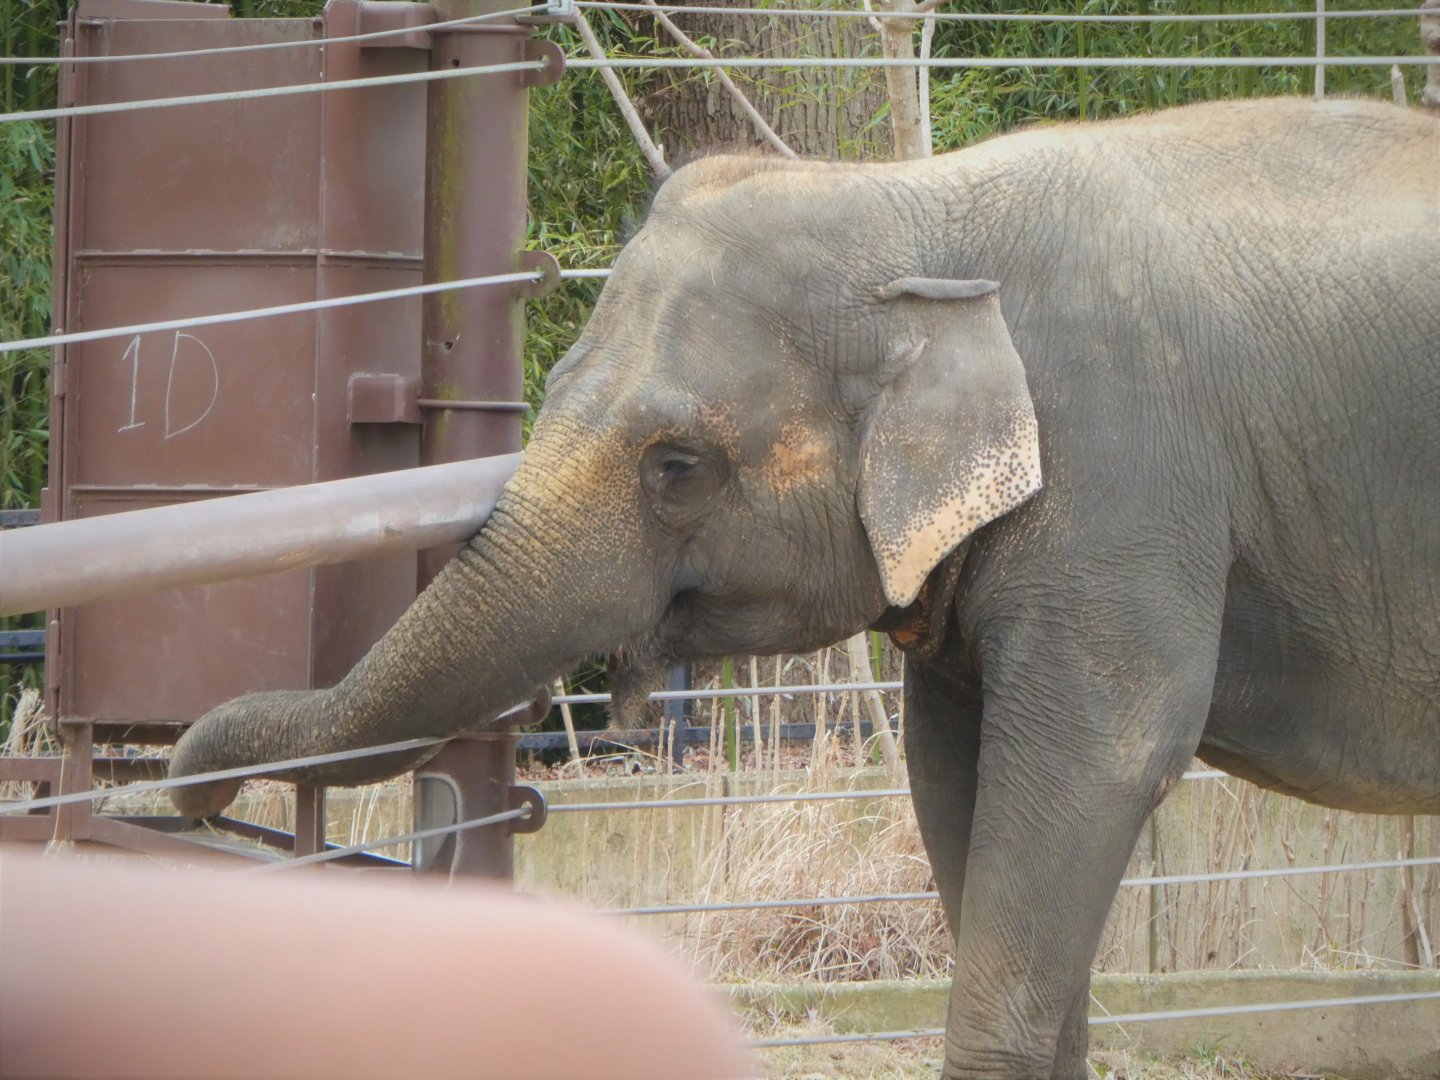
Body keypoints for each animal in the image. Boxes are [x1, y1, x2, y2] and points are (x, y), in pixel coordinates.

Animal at [169, 96, 1440, 1078]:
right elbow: (953, 764)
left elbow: (1098, 759)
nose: (193, 796)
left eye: (676, 464)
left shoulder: (1125, 475)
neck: (917, 207)